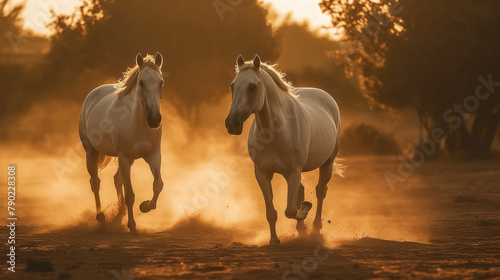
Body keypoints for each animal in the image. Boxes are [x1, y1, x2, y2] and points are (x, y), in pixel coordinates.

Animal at [78, 52, 164, 234]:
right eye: (141, 82)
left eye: (161, 82)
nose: (154, 120)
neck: (138, 124)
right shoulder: (125, 158)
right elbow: (130, 194)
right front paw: (132, 226)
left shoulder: (153, 156)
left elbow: (158, 184)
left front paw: (145, 206)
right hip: (91, 152)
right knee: (95, 182)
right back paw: (101, 217)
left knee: (117, 180)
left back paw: (120, 211)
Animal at [225, 54, 342, 243]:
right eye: (232, 86)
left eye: (252, 86)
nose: (231, 124)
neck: (276, 133)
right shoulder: (262, 173)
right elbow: (272, 212)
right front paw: (274, 240)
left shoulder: (294, 171)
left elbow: (291, 210)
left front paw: (305, 209)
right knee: (302, 190)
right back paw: (302, 229)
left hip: (327, 164)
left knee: (320, 191)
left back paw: (316, 226)